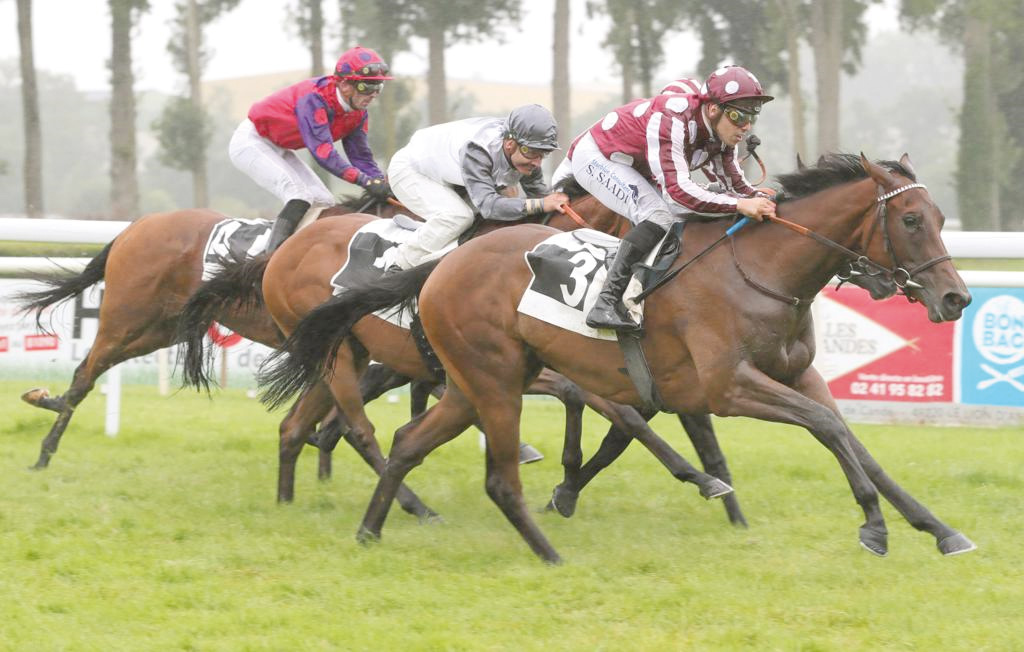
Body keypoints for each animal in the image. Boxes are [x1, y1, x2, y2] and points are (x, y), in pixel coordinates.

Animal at [268, 151, 978, 560]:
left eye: (942, 218)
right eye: (911, 221)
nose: (956, 298)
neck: (759, 270)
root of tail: (443, 265)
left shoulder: (794, 374)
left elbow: (851, 439)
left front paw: (936, 528)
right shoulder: (725, 386)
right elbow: (824, 428)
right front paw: (874, 525)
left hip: (467, 381)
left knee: (398, 439)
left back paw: (372, 528)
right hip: (474, 376)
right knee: (399, 440)